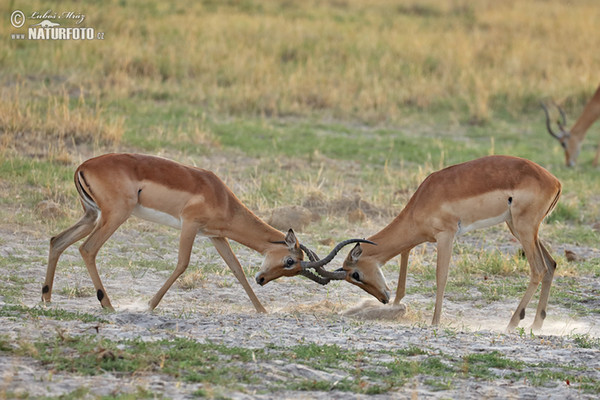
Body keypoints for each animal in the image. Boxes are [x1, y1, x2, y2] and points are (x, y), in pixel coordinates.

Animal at [42, 153, 366, 312]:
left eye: (295, 268)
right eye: (289, 261)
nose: (262, 280)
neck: (221, 197)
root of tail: (83, 165)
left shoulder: (215, 236)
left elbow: (236, 269)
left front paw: (262, 310)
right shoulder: (190, 225)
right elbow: (182, 264)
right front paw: (148, 305)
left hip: (91, 215)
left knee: (57, 240)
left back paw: (46, 298)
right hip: (114, 216)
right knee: (87, 249)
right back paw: (107, 304)